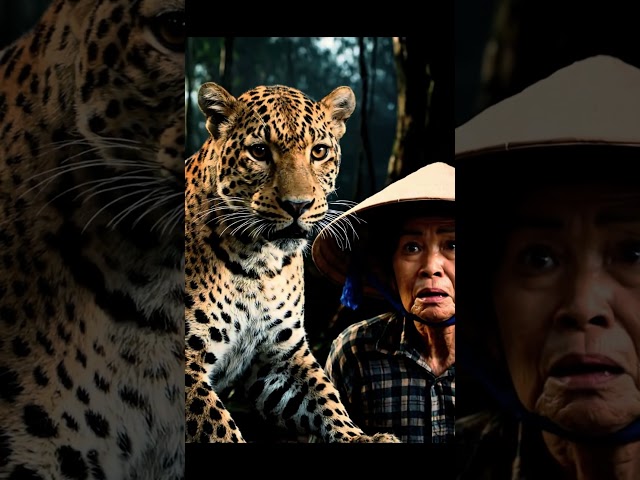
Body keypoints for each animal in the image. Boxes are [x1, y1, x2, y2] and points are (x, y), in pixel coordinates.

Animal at [184, 81, 401, 444]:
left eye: (319, 152)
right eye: (259, 152)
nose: (298, 205)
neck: (258, 264)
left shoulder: (281, 355)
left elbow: (325, 396)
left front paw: (360, 437)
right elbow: (219, 426)